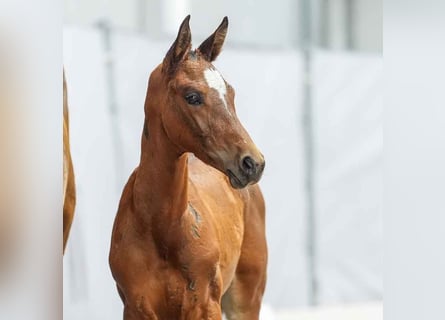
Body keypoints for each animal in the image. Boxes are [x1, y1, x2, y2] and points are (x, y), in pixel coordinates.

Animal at [108, 16, 268, 318]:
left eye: (231, 93)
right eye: (192, 96)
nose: (253, 163)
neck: (163, 230)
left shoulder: (205, 305)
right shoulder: (135, 307)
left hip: (246, 297)